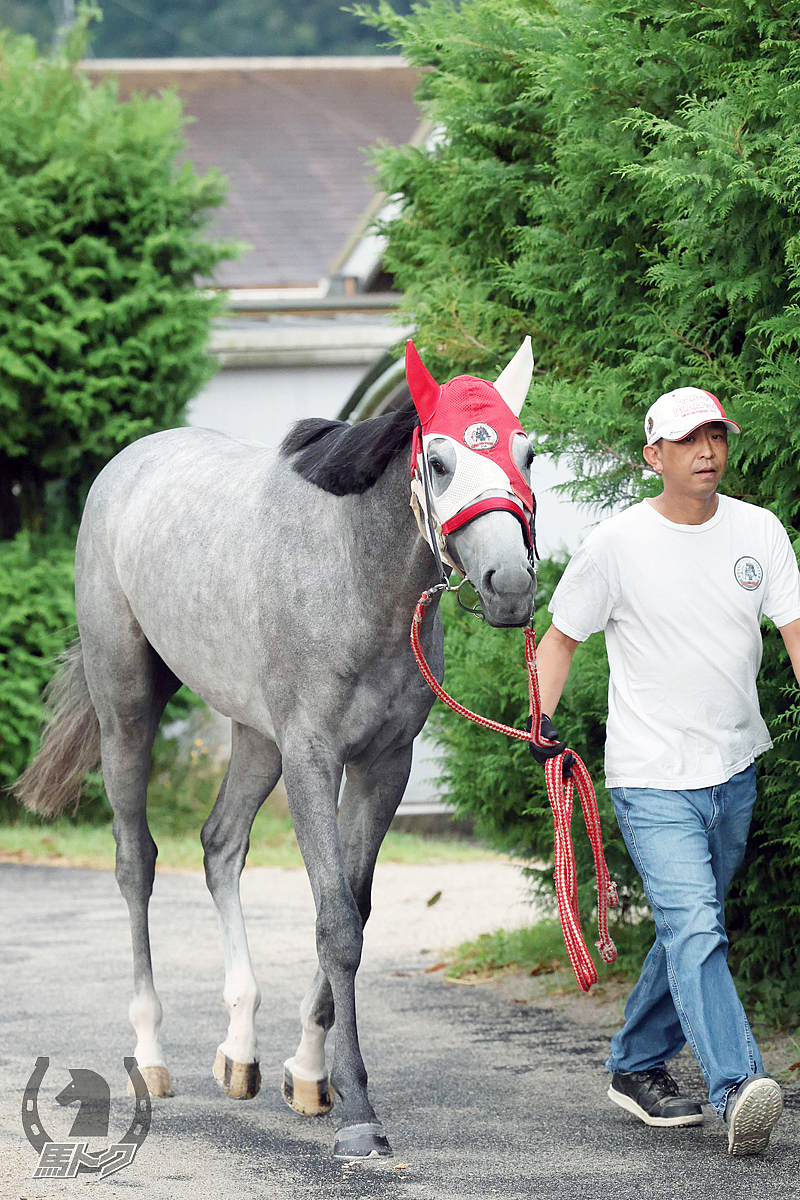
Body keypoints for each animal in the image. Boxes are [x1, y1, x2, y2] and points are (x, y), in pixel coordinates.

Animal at [15, 340, 537, 1161]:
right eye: (441, 460)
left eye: (527, 453)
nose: (509, 581)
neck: (351, 572)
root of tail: (127, 462)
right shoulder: (313, 758)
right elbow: (336, 924)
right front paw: (359, 1112)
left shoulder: (386, 763)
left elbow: (352, 905)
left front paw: (308, 1074)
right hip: (126, 710)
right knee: (136, 862)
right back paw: (152, 1055)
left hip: (255, 736)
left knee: (220, 844)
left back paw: (238, 1051)